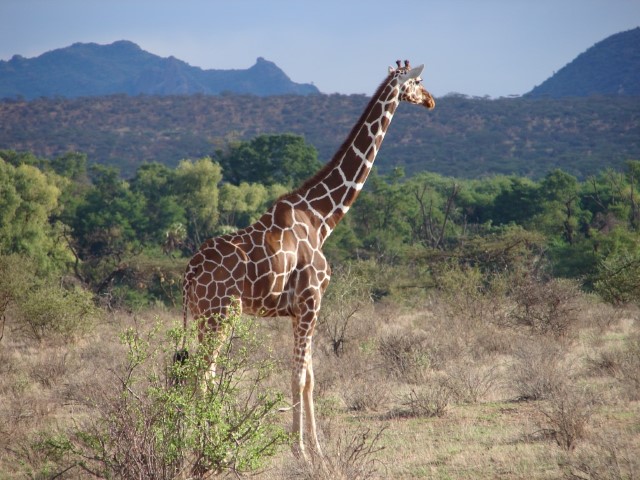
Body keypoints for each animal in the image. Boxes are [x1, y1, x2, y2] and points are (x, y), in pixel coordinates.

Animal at [182, 60, 438, 458]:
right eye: (418, 81)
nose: (431, 101)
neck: (322, 219)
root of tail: (189, 273)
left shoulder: (300, 309)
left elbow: (311, 378)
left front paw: (317, 448)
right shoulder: (310, 301)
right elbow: (299, 376)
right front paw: (299, 450)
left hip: (202, 317)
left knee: (197, 372)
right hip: (220, 315)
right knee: (204, 373)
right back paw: (210, 445)